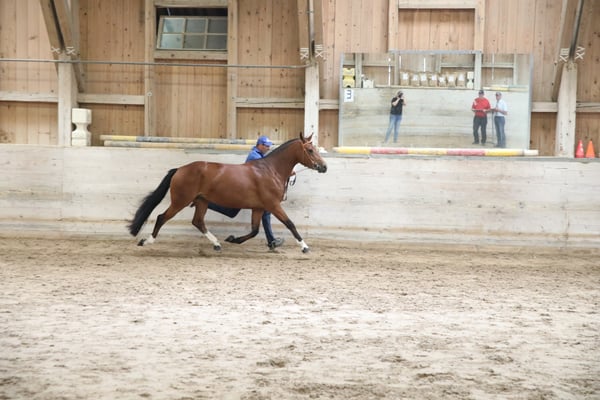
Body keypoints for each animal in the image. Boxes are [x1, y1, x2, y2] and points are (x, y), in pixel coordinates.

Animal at [128, 133, 327, 253]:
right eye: (310, 150)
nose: (324, 167)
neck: (270, 170)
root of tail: (180, 169)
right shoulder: (273, 205)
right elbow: (290, 224)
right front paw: (304, 246)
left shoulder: (258, 208)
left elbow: (255, 230)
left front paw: (234, 239)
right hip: (180, 201)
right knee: (162, 217)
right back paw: (146, 241)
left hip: (201, 201)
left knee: (198, 221)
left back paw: (216, 244)